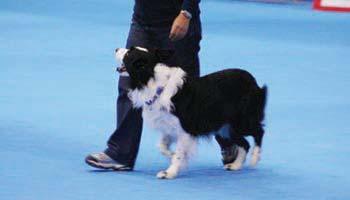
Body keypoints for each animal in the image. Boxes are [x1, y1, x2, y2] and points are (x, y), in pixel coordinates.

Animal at [116, 47, 266, 180]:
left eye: (129, 53)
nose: (116, 49)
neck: (152, 81)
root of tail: (253, 81)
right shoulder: (169, 125)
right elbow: (162, 146)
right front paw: (172, 156)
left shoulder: (186, 129)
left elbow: (179, 153)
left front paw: (169, 172)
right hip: (226, 127)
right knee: (244, 143)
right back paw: (236, 165)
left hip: (241, 120)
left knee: (259, 131)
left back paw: (255, 157)